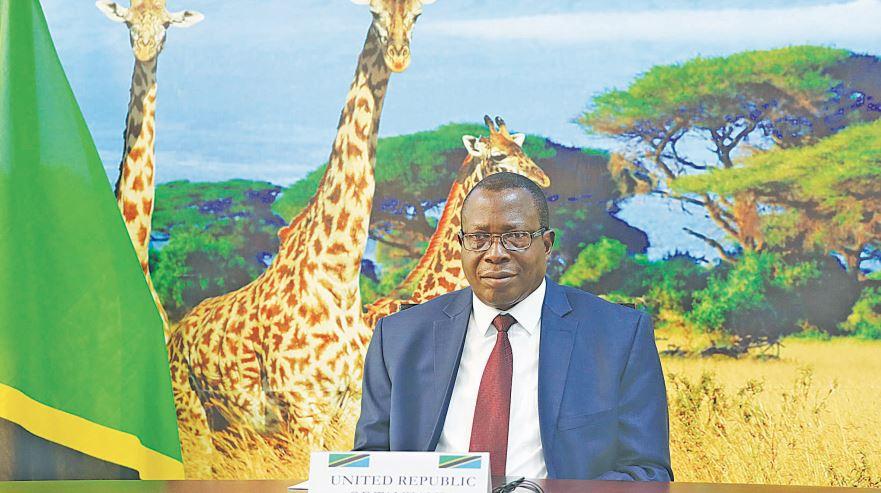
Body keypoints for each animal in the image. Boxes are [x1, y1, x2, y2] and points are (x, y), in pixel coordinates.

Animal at [167, 0, 435, 469]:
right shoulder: (303, 412)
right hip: (192, 416)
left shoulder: (347, 410)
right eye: (373, 12)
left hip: (231, 427)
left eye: (418, 14)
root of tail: (175, 334)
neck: (339, 277)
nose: (399, 55)